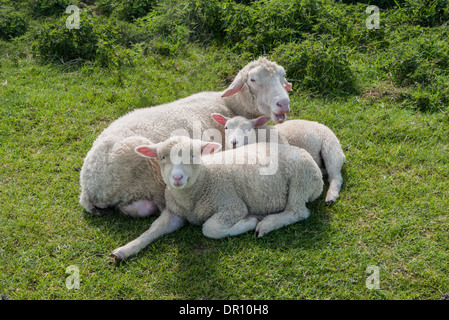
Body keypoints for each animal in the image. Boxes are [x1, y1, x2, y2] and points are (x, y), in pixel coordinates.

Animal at [111, 135, 322, 260]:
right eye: (162, 157)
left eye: (194, 156)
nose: (177, 178)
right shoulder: (174, 213)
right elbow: (153, 229)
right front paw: (125, 249)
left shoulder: (232, 206)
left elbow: (210, 229)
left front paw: (249, 222)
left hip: (300, 180)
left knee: (298, 212)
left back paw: (267, 223)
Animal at [212, 115, 344, 205]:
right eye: (226, 127)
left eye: (248, 129)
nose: (234, 142)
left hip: (331, 148)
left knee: (335, 176)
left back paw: (331, 196)